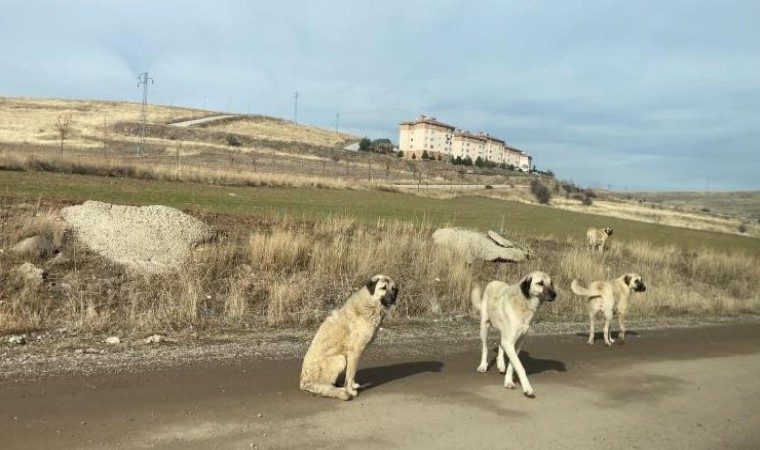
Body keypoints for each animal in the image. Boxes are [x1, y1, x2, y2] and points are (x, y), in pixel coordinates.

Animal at [470, 270, 560, 398]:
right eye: (540, 283)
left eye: (551, 283)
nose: (554, 294)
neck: (524, 303)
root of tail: (494, 281)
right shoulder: (509, 343)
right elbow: (520, 367)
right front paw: (527, 389)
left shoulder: (517, 344)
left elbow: (512, 365)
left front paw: (508, 381)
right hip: (484, 326)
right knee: (485, 348)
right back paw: (483, 365)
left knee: (500, 345)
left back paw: (501, 364)